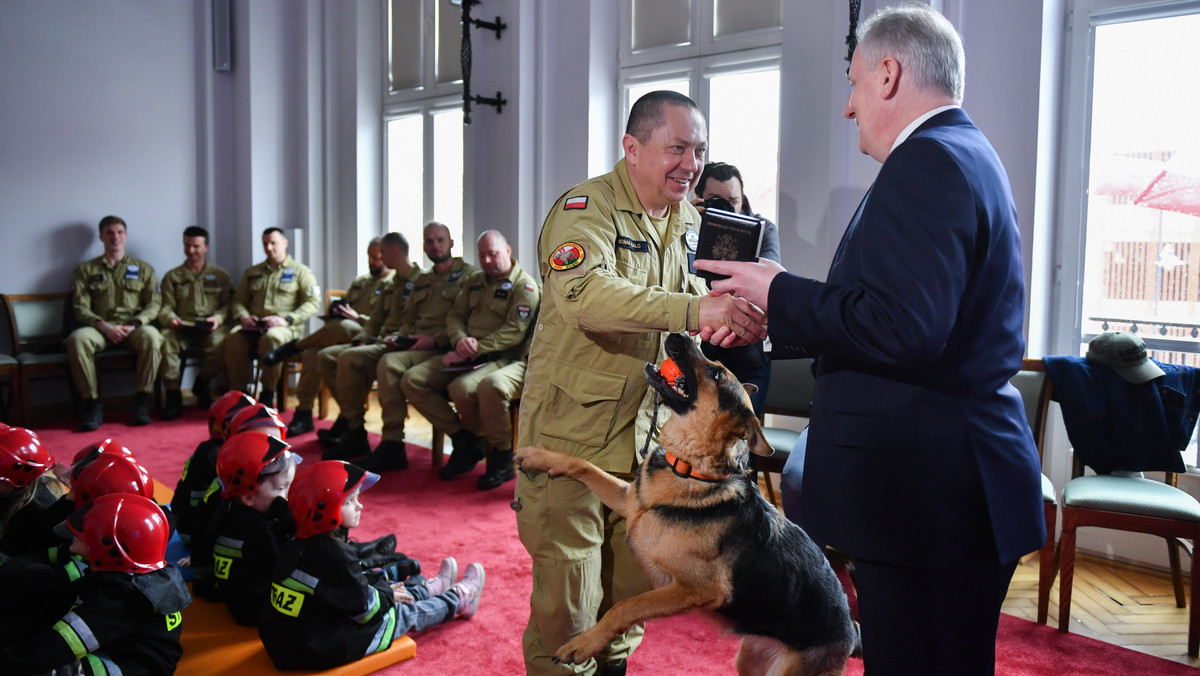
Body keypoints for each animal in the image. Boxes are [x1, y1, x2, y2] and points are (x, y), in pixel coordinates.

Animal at [511, 333, 859, 676]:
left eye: (716, 374)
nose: (680, 334)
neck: (689, 468)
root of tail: (852, 631)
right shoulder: (628, 501)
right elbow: (583, 465)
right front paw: (541, 457)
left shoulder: (696, 589)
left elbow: (626, 606)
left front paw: (584, 642)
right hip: (749, 661)